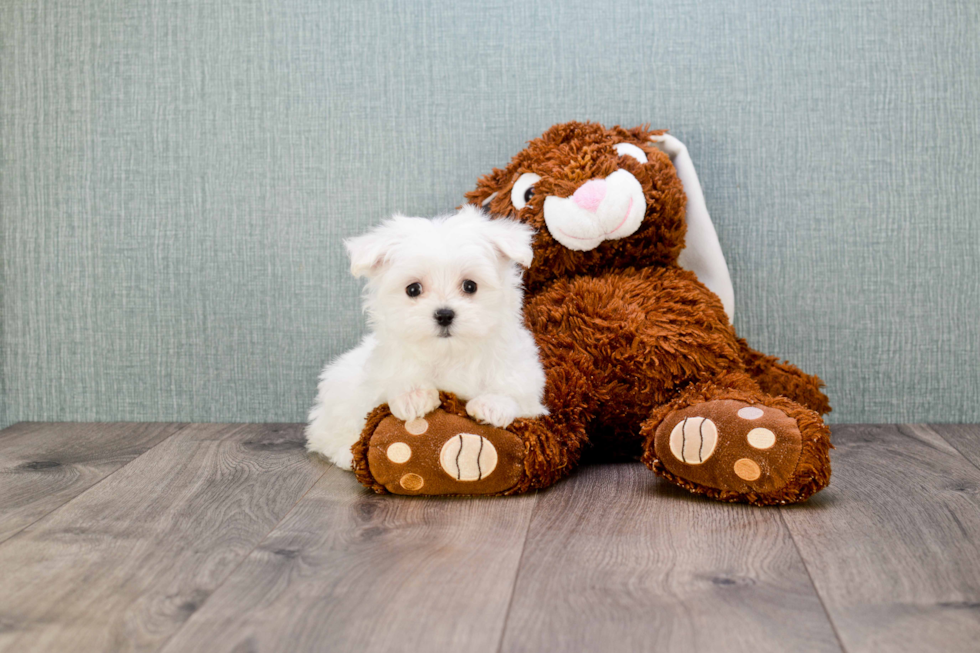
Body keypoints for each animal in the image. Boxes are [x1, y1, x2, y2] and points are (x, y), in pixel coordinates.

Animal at [306, 206, 548, 466]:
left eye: (470, 286)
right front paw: (412, 396)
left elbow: (515, 391)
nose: (444, 314)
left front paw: (492, 404)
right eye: (413, 289)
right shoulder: (379, 373)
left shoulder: (522, 374)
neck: (449, 353)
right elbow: (389, 384)